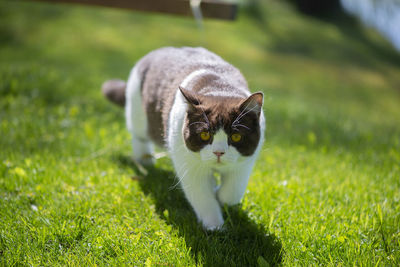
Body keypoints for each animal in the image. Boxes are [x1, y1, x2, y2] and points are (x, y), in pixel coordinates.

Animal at [102, 46, 266, 230]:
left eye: (236, 136)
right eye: (204, 134)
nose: (218, 152)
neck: (220, 89)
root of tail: (160, 50)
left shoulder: (246, 160)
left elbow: (232, 192)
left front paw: (219, 194)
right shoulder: (188, 161)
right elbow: (202, 195)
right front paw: (215, 226)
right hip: (137, 110)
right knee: (139, 136)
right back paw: (145, 159)